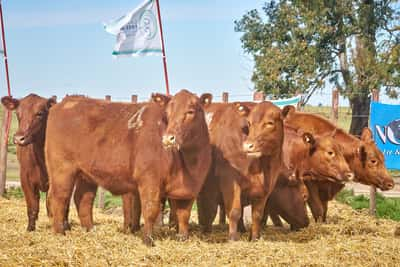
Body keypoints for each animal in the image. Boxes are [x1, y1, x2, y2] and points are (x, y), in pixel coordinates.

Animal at [1, 94, 55, 232]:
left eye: (40, 113)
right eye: (17, 113)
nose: (19, 138)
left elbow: (52, 204)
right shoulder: (25, 179)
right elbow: (32, 205)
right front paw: (30, 227)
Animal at [45, 90, 211, 247]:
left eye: (190, 111)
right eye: (167, 113)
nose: (168, 138)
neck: (188, 162)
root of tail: (66, 102)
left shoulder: (190, 190)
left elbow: (184, 214)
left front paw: (183, 238)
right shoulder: (149, 181)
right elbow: (150, 209)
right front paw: (148, 239)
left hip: (85, 174)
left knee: (83, 199)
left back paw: (90, 230)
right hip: (62, 170)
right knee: (59, 197)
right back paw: (59, 232)